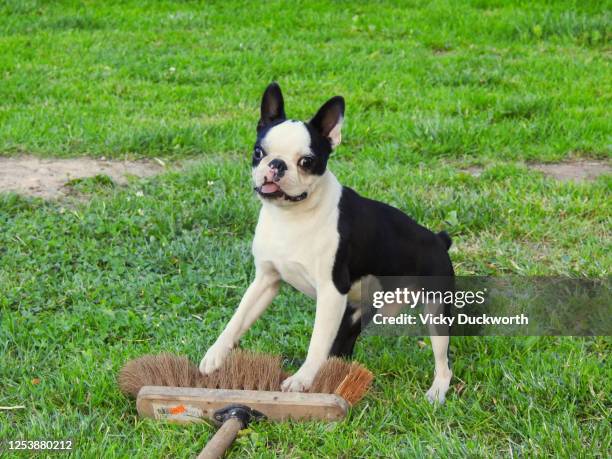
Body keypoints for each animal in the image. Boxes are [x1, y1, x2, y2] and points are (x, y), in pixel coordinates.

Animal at [201, 84, 454, 404]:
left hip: (436, 309)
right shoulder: (265, 281)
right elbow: (238, 318)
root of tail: (438, 239)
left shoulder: (331, 291)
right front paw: (214, 355)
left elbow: (317, 342)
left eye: (306, 161)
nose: (276, 164)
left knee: (443, 359)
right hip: (357, 310)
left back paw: (437, 391)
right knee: (342, 348)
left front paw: (301, 380)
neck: (292, 216)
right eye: (258, 152)